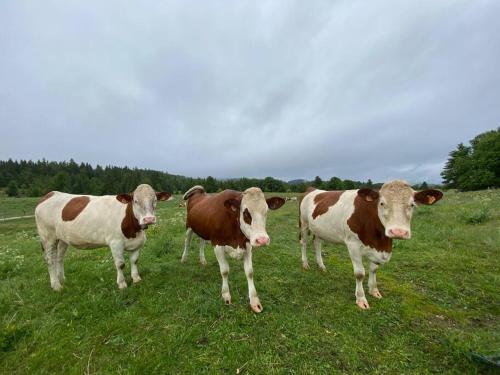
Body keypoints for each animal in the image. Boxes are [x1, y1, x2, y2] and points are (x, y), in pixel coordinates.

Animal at [35, 185, 172, 290]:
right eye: (135, 201)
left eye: (155, 200)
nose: (149, 219)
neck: (133, 231)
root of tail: (50, 194)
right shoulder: (115, 243)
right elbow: (120, 264)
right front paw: (122, 284)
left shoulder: (138, 243)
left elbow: (134, 260)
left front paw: (136, 278)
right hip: (47, 236)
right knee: (49, 259)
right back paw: (56, 285)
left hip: (62, 238)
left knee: (59, 257)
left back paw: (62, 279)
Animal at [298, 181, 444, 310]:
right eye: (382, 203)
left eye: (412, 204)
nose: (398, 232)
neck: (381, 241)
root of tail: (313, 189)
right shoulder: (353, 244)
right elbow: (360, 274)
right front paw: (361, 299)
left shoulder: (376, 248)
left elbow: (374, 269)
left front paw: (374, 291)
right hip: (304, 224)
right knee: (304, 243)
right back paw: (305, 264)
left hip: (318, 229)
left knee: (317, 244)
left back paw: (321, 266)